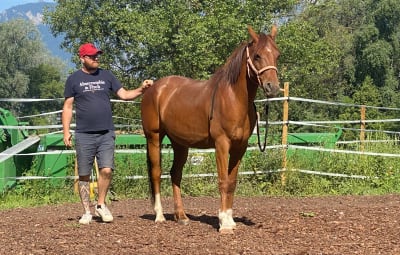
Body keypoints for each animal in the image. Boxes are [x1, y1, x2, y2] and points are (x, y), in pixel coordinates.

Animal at [142, 25, 280, 233]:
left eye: (277, 55)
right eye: (257, 56)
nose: (273, 87)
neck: (233, 98)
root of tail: (153, 88)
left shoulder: (240, 147)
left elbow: (232, 182)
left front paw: (230, 220)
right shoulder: (222, 144)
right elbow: (223, 181)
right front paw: (223, 224)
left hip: (180, 144)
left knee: (175, 174)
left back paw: (181, 216)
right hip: (154, 138)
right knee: (156, 173)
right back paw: (159, 216)